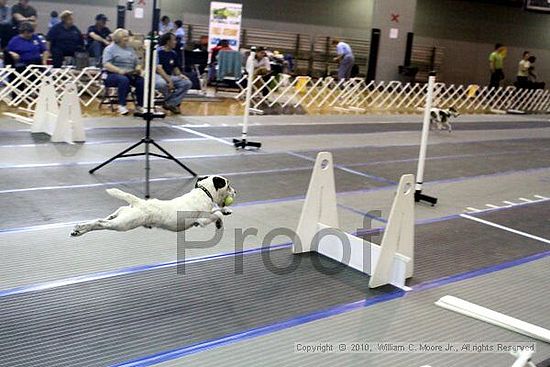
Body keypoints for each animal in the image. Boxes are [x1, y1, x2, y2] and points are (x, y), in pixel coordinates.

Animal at [71, 176, 237, 239]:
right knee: (100, 223)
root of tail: (138, 202)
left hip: (123, 214)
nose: (236, 192)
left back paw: (78, 229)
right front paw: (220, 221)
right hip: (123, 224)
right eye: (228, 185)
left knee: (109, 216)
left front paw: (226, 210)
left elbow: (218, 210)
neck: (204, 192)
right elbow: (216, 214)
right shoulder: (202, 219)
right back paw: (80, 228)